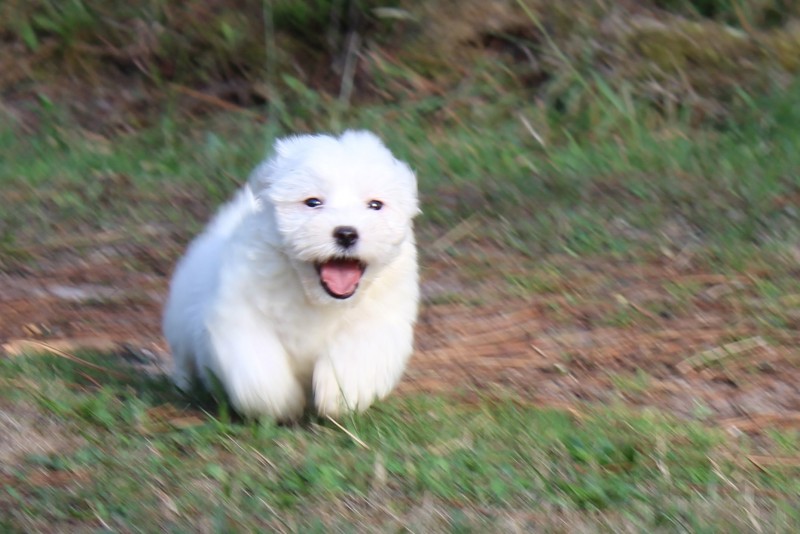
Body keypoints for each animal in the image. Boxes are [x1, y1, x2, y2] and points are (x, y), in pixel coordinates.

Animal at [162, 131, 418, 422]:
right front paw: (283, 403)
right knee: (184, 357)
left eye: (375, 205)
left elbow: (357, 355)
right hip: (180, 319)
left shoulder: (378, 318)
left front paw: (339, 396)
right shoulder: (240, 315)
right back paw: (184, 384)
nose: (346, 233)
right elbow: (259, 373)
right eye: (313, 202)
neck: (315, 296)